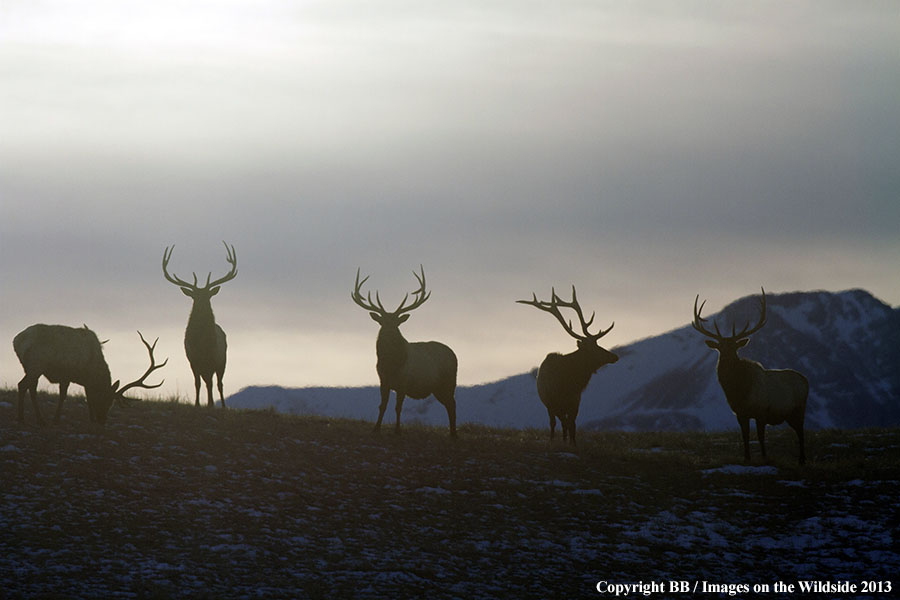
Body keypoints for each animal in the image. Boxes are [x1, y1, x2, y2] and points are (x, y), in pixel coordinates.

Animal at [13, 324, 167, 425]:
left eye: (111, 402)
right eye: (106, 400)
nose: (102, 420)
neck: (92, 368)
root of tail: (17, 341)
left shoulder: (84, 381)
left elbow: (88, 397)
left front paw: (91, 418)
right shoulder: (67, 375)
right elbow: (65, 396)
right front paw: (56, 419)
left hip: (31, 368)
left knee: (28, 387)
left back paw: (31, 418)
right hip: (36, 365)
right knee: (24, 385)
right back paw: (28, 418)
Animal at [162, 241, 237, 408]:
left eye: (208, 295)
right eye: (194, 296)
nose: (202, 305)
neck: (202, 344)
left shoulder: (213, 358)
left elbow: (212, 383)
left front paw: (211, 404)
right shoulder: (193, 360)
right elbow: (197, 383)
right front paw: (197, 404)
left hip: (223, 360)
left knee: (219, 383)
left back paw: (222, 405)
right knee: (208, 382)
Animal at [351, 265, 458, 438]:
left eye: (396, 323)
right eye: (382, 322)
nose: (389, 332)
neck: (391, 364)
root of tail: (454, 355)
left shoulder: (403, 382)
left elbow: (398, 407)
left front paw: (397, 430)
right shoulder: (383, 380)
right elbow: (382, 405)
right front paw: (376, 428)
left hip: (448, 382)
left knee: (452, 404)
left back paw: (454, 434)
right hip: (439, 388)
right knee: (450, 404)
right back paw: (452, 433)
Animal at [517, 286, 618, 446]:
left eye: (598, 344)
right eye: (593, 348)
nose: (614, 356)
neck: (569, 384)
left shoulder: (575, 402)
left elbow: (573, 425)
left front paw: (573, 444)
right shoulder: (554, 403)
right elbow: (564, 423)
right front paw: (562, 442)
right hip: (550, 405)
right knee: (555, 423)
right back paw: (554, 439)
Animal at [692, 288, 809, 464]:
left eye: (735, 348)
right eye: (720, 348)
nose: (727, 359)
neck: (739, 392)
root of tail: (806, 380)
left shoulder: (761, 412)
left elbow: (760, 436)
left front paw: (764, 457)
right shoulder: (740, 413)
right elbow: (745, 436)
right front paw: (746, 458)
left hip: (799, 408)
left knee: (801, 432)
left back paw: (802, 459)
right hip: (790, 414)